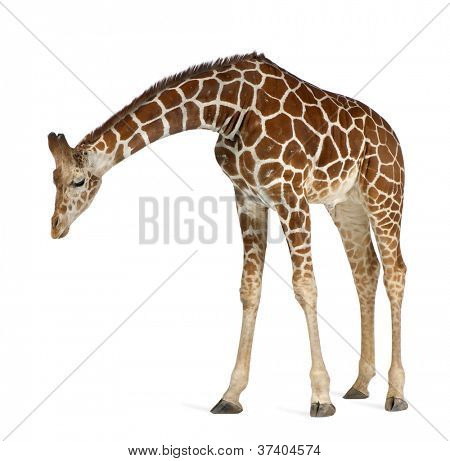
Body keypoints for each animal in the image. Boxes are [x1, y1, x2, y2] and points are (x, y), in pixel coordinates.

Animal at [48, 52, 408, 416]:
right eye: (53, 178)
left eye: (78, 181)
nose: (55, 226)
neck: (227, 109)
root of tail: (393, 136)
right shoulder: (248, 197)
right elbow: (250, 289)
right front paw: (231, 394)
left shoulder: (290, 194)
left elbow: (305, 286)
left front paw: (320, 397)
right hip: (346, 205)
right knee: (366, 271)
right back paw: (360, 384)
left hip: (384, 195)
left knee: (395, 271)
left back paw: (396, 393)